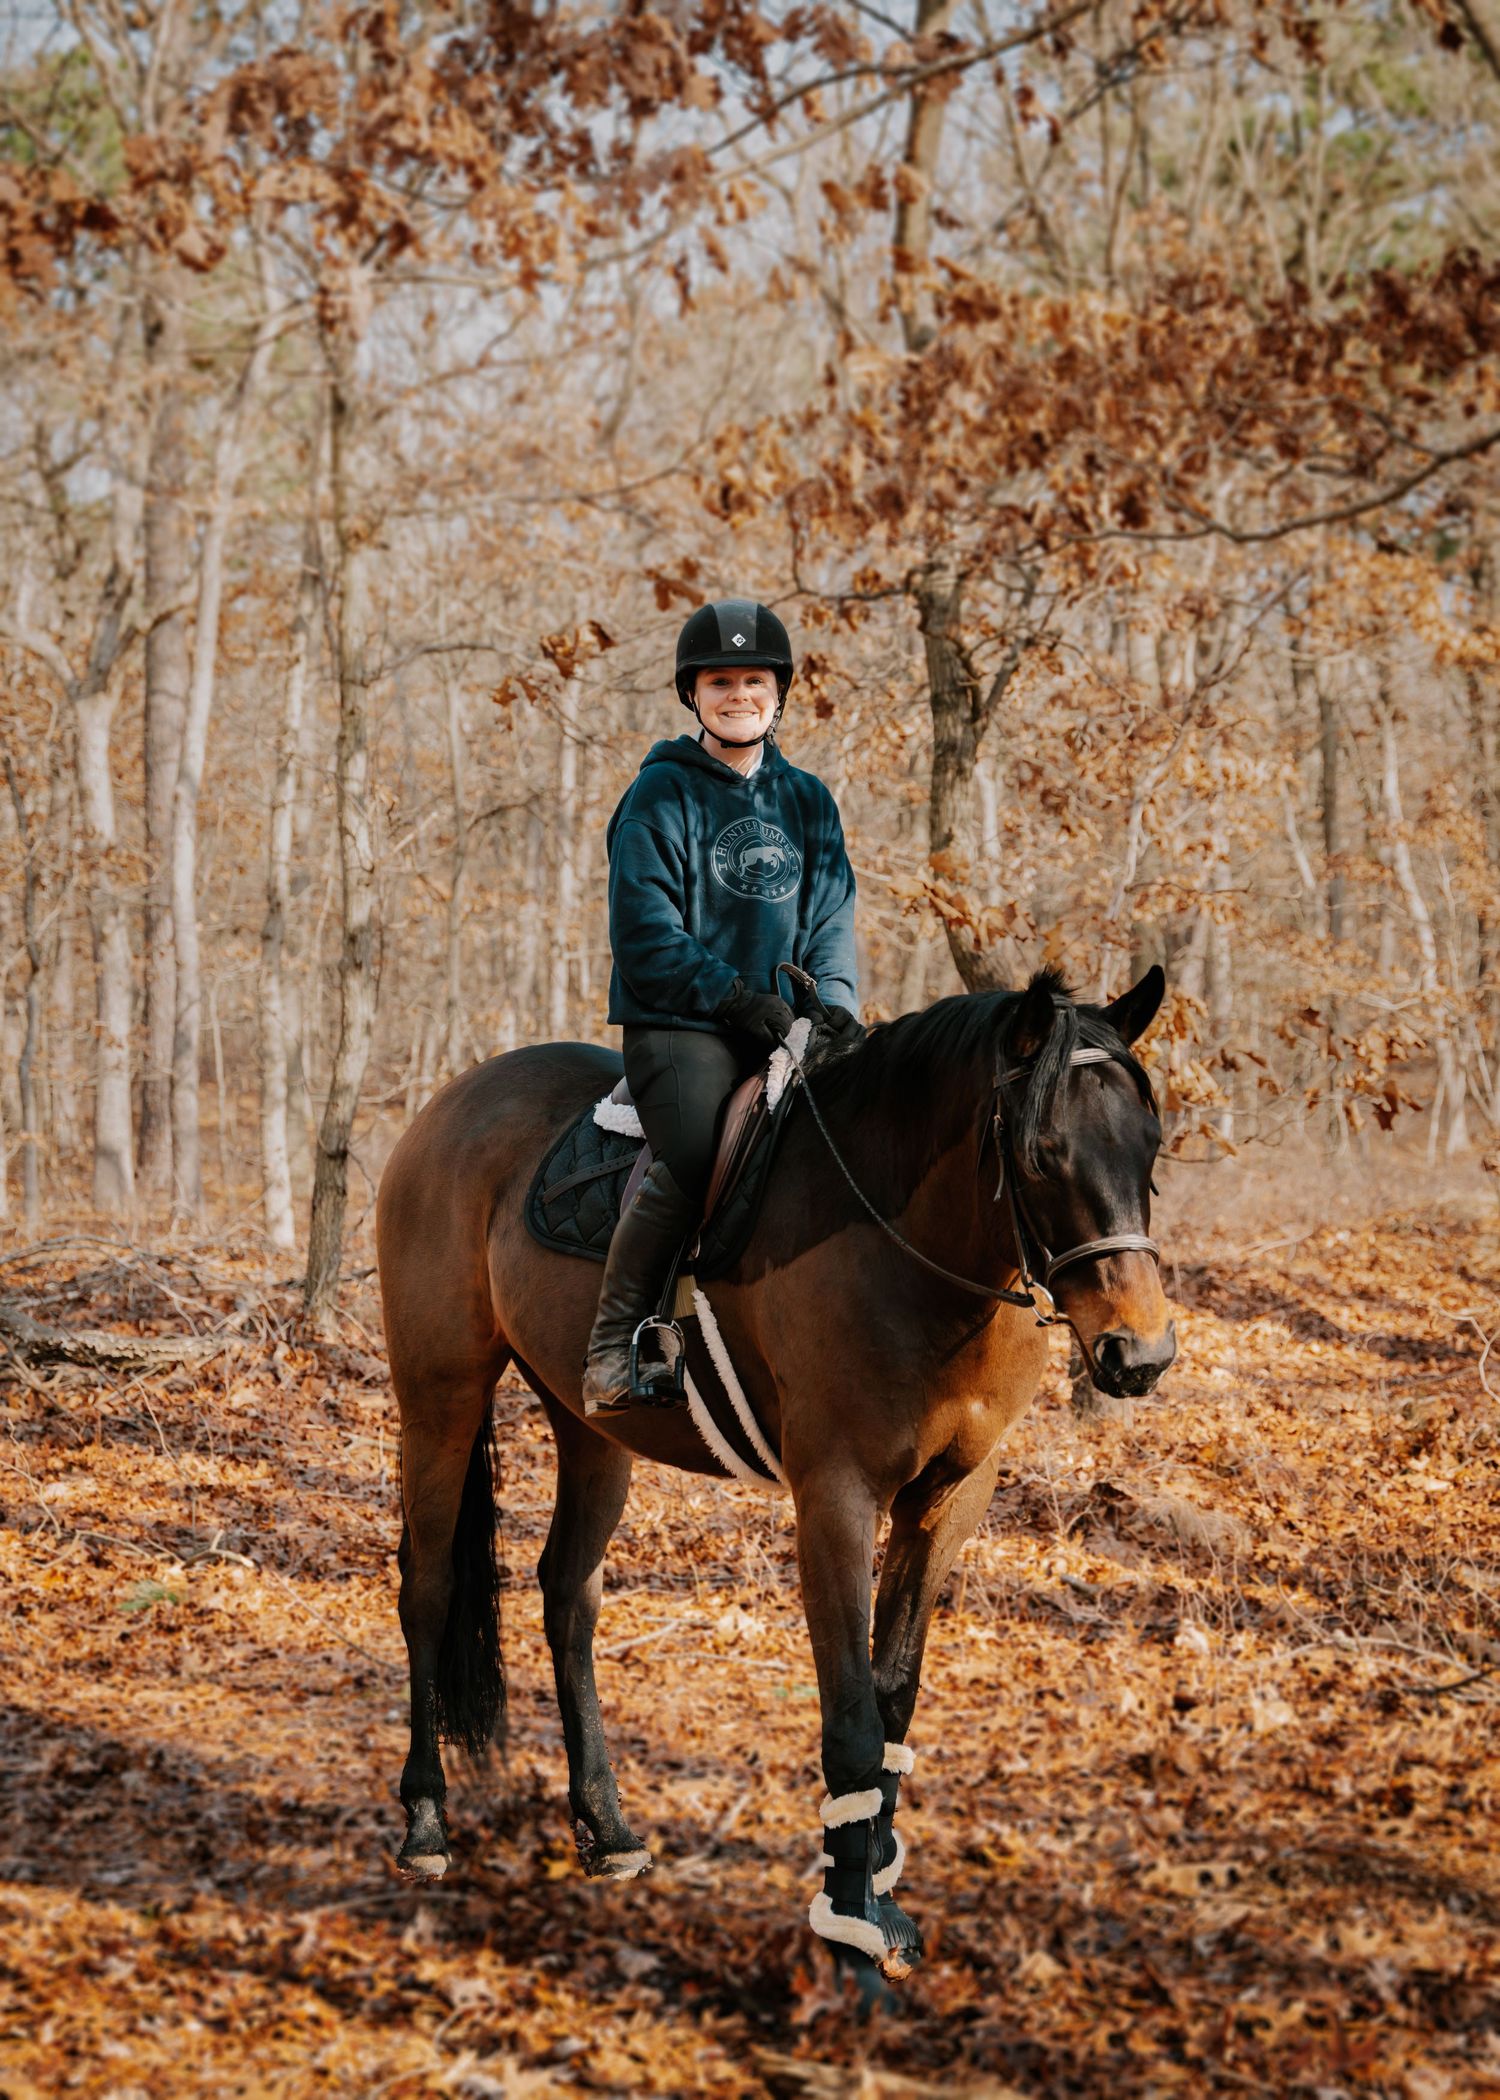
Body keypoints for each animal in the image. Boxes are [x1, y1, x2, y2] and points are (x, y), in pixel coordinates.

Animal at [374, 965, 1176, 1990]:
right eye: (1042, 1152)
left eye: (1149, 1142)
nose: (1138, 1353)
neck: (901, 1239)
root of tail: (452, 1101)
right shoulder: (835, 1498)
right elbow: (853, 1719)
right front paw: (849, 1928)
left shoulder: (948, 1504)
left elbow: (894, 1698)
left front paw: (879, 1893)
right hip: (440, 1395)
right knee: (430, 1587)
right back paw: (425, 1824)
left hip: (591, 1427)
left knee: (568, 1594)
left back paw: (605, 1825)